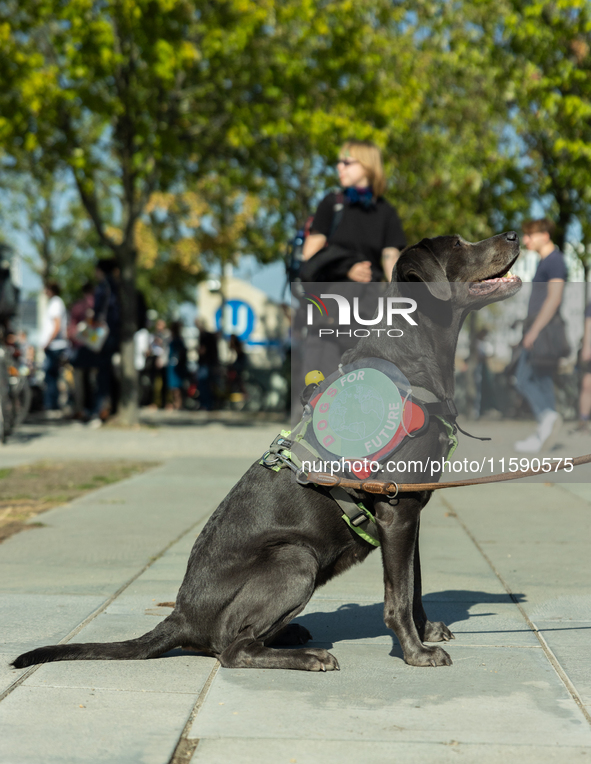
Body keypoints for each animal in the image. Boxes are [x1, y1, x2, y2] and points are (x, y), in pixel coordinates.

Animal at [12, 234, 524, 676]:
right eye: (459, 245)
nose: (515, 234)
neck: (416, 360)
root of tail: (181, 616)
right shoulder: (396, 509)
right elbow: (397, 596)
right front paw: (416, 653)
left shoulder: (410, 510)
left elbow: (413, 585)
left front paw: (426, 632)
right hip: (294, 558)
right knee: (231, 649)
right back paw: (309, 656)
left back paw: (292, 634)